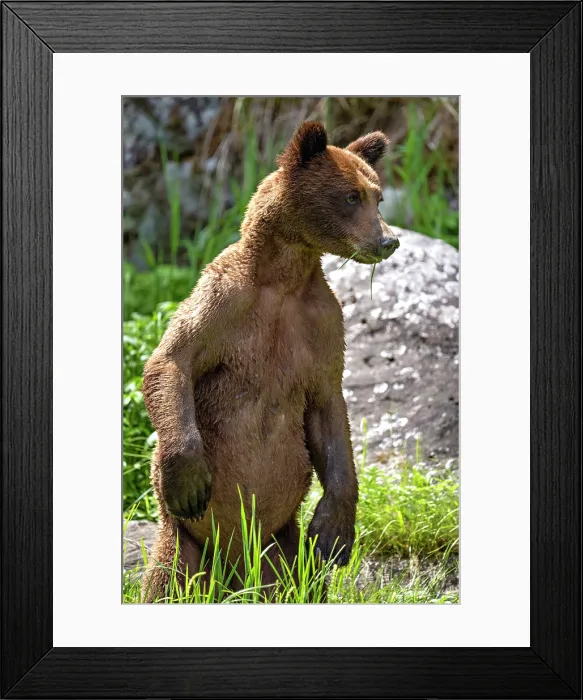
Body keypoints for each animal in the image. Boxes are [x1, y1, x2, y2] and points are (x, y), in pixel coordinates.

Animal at [140, 121, 399, 601]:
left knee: (304, 578)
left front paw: (334, 532)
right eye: (350, 196)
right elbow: (171, 360)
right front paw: (189, 480)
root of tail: (233, 569)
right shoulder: (225, 300)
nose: (388, 240)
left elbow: (330, 410)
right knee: (168, 580)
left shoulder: (321, 323)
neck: (284, 278)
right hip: (184, 543)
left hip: (281, 547)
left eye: (378, 196)